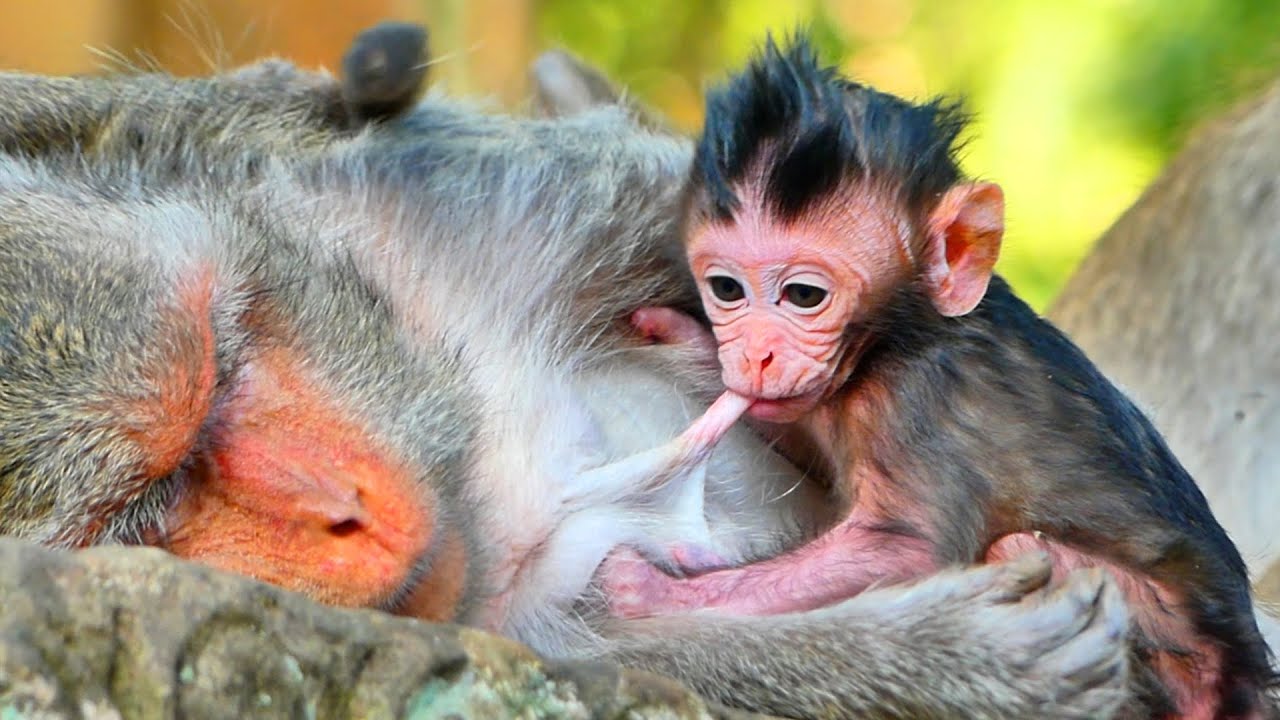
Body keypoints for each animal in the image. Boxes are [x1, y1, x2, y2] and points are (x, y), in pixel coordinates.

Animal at [598, 35, 1278, 720]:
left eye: (804, 296)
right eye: (727, 289)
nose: (755, 354)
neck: (897, 338)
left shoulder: (920, 400)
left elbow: (904, 548)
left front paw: (655, 594)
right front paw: (683, 338)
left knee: (1015, 550)